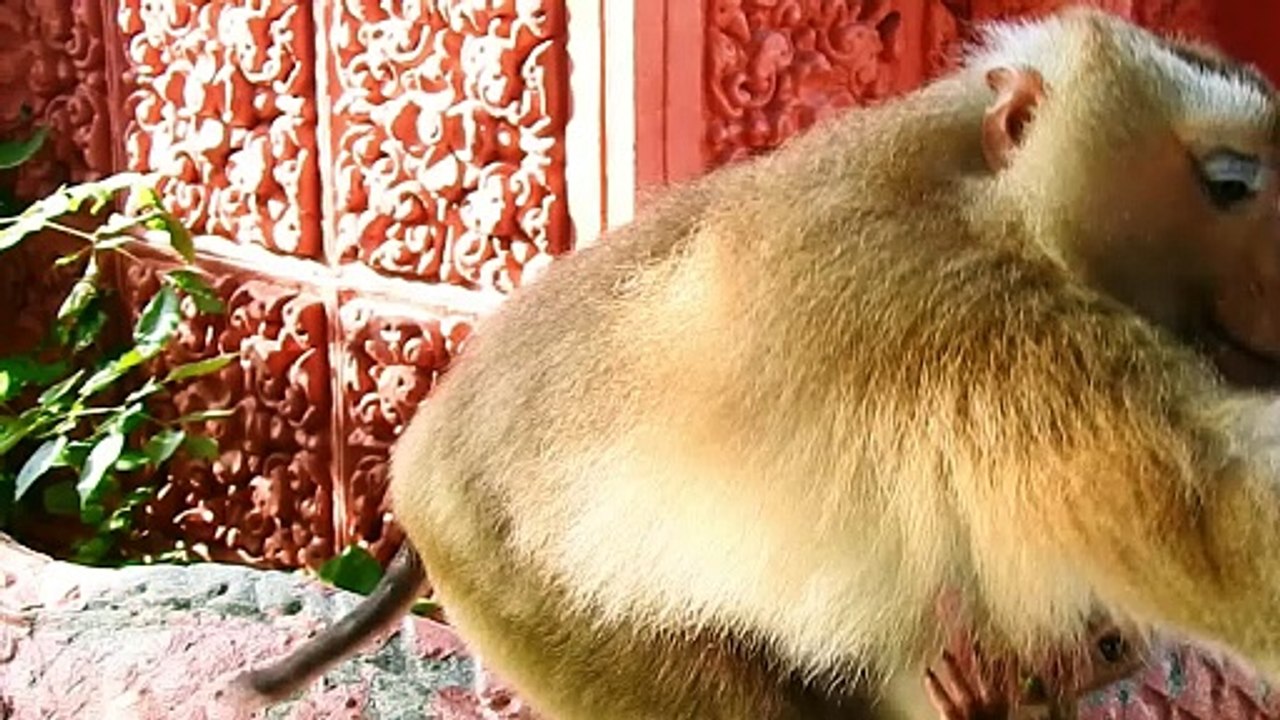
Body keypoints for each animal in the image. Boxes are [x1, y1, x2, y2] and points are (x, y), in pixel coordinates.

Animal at [223, 7, 1280, 720]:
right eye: (1231, 184)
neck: (992, 201)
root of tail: (427, 446)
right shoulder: (969, 319)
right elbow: (1228, 522)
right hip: (523, 585)